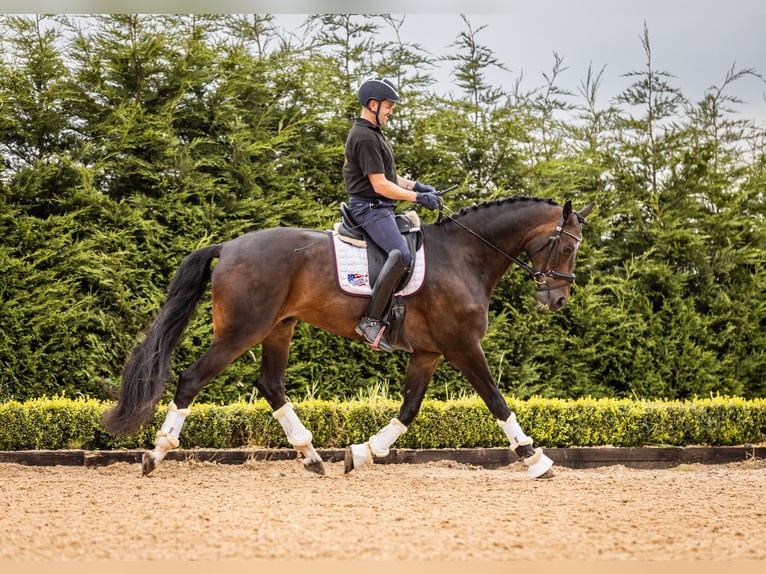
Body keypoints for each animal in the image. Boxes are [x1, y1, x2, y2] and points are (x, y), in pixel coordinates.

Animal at [103, 198, 592, 482]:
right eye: (568, 247)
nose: (558, 299)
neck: (463, 256)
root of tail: (229, 246)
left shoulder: (430, 352)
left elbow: (408, 410)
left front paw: (363, 453)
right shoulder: (462, 345)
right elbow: (496, 400)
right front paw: (534, 458)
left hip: (280, 327)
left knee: (270, 385)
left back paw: (311, 455)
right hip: (243, 330)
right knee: (191, 378)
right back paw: (157, 453)